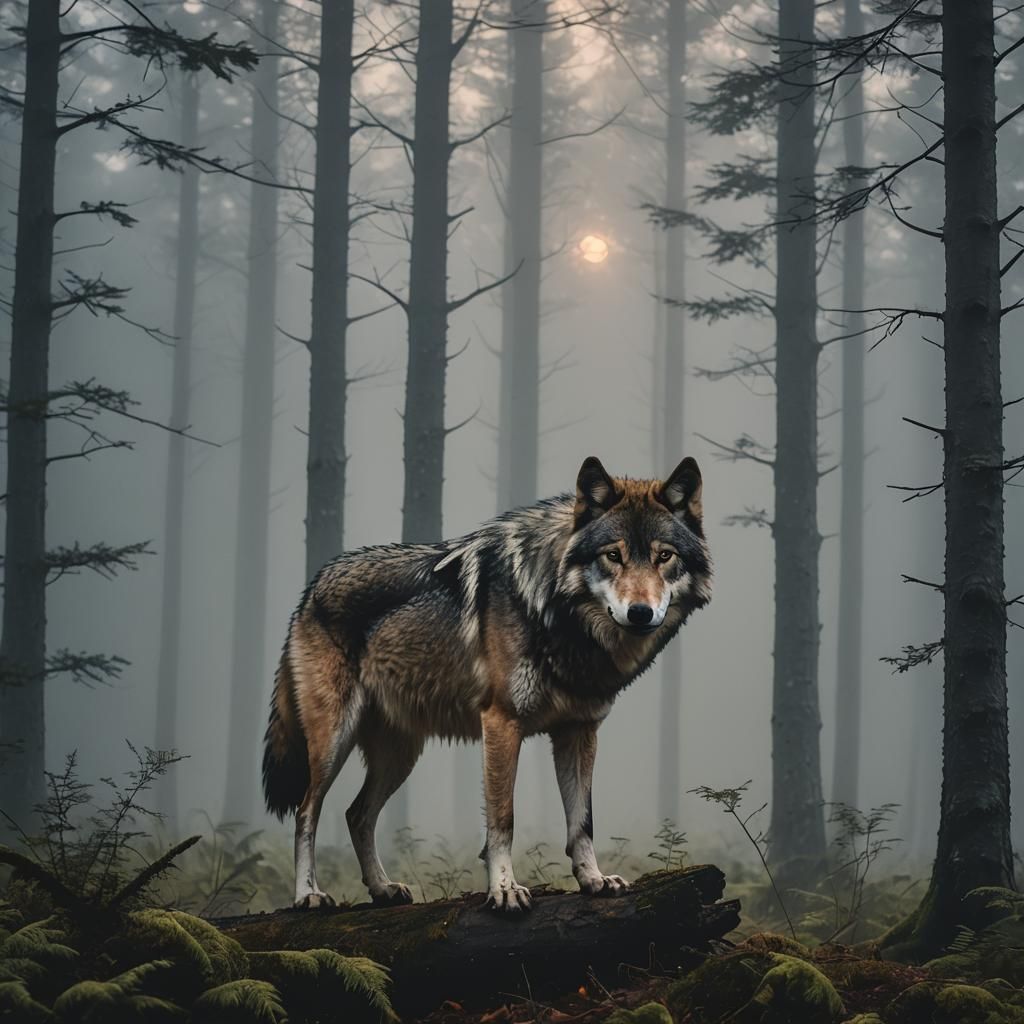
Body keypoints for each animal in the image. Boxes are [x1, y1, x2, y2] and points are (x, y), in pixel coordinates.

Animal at [263, 456, 711, 913]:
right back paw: (308, 894)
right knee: (306, 811)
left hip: (400, 755)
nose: (640, 612)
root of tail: (311, 587)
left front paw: (594, 879)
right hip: (333, 742)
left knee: (357, 815)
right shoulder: (501, 722)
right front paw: (505, 889)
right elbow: (503, 820)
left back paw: (383, 889)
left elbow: (582, 821)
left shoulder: (579, 731)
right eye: (613, 556)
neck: (557, 615)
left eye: (664, 556)